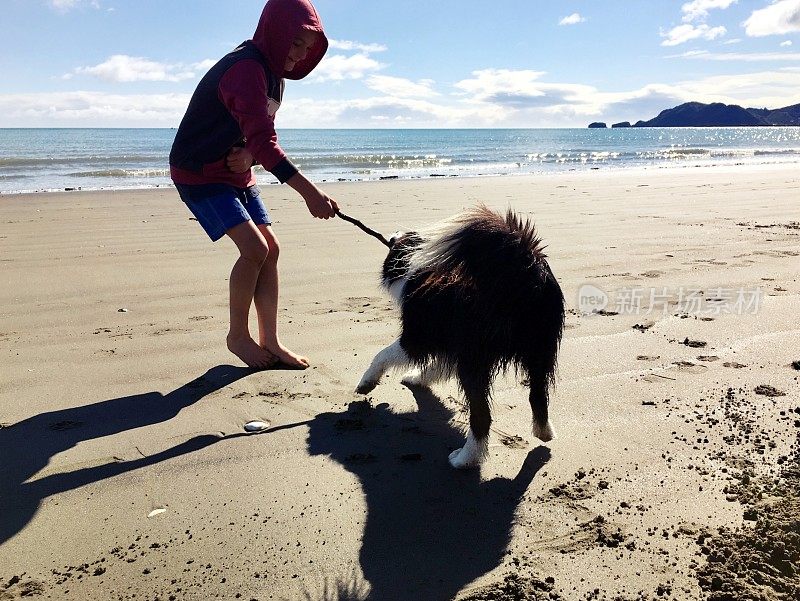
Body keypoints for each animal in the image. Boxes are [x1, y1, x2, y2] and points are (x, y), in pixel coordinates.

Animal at [354, 206, 564, 468]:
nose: (393, 234)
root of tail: (523, 275)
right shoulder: (451, 347)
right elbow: (434, 368)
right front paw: (416, 377)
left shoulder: (417, 337)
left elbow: (381, 355)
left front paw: (366, 383)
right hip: (539, 351)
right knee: (538, 395)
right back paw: (544, 432)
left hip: (475, 361)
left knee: (482, 416)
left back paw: (464, 459)